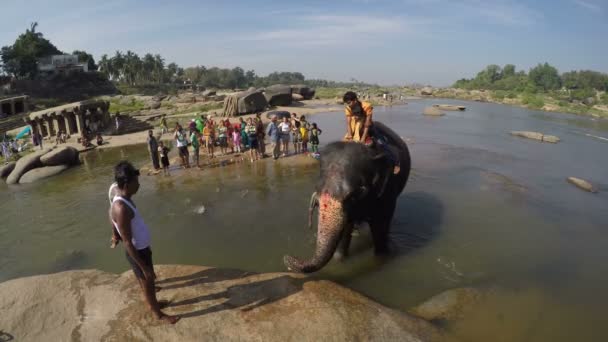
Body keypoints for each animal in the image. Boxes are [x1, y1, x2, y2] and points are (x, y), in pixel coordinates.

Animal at [286, 121, 414, 274]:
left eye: (356, 193)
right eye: (317, 189)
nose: (287, 258)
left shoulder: (387, 189)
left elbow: (380, 226)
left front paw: (380, 259)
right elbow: (345, 228)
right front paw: (339, 259)